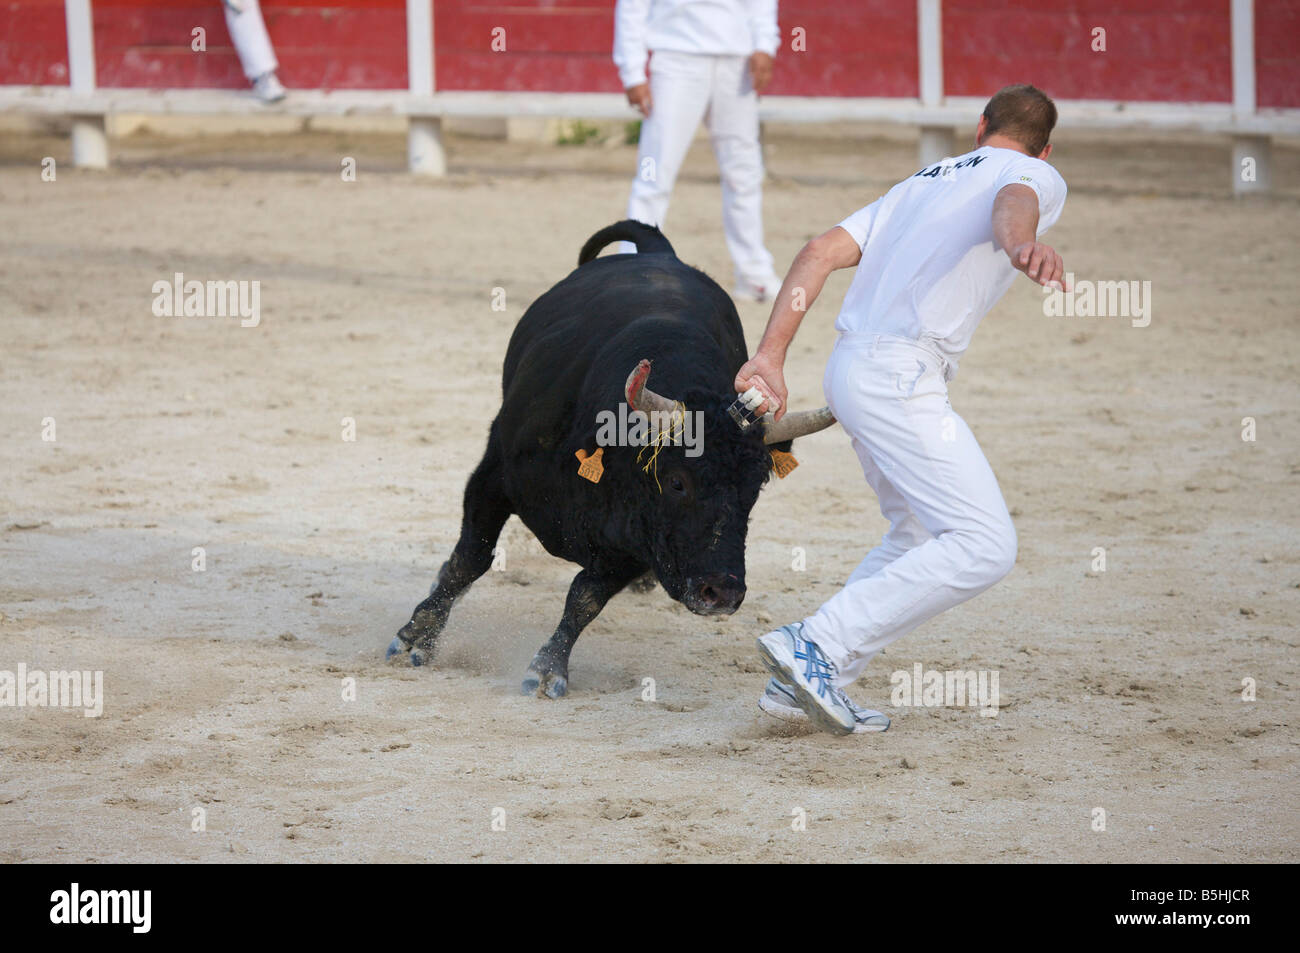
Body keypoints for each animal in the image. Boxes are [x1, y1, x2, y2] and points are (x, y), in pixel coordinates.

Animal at [384, 223, 832, 696]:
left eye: (756, 488)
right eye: (677, 481)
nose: (722, 593)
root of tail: (661, 252)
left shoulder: (636, 546)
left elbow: (584, 598)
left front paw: (548, 669)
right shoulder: (493, 477)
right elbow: (471, 559)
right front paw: (417, 637)